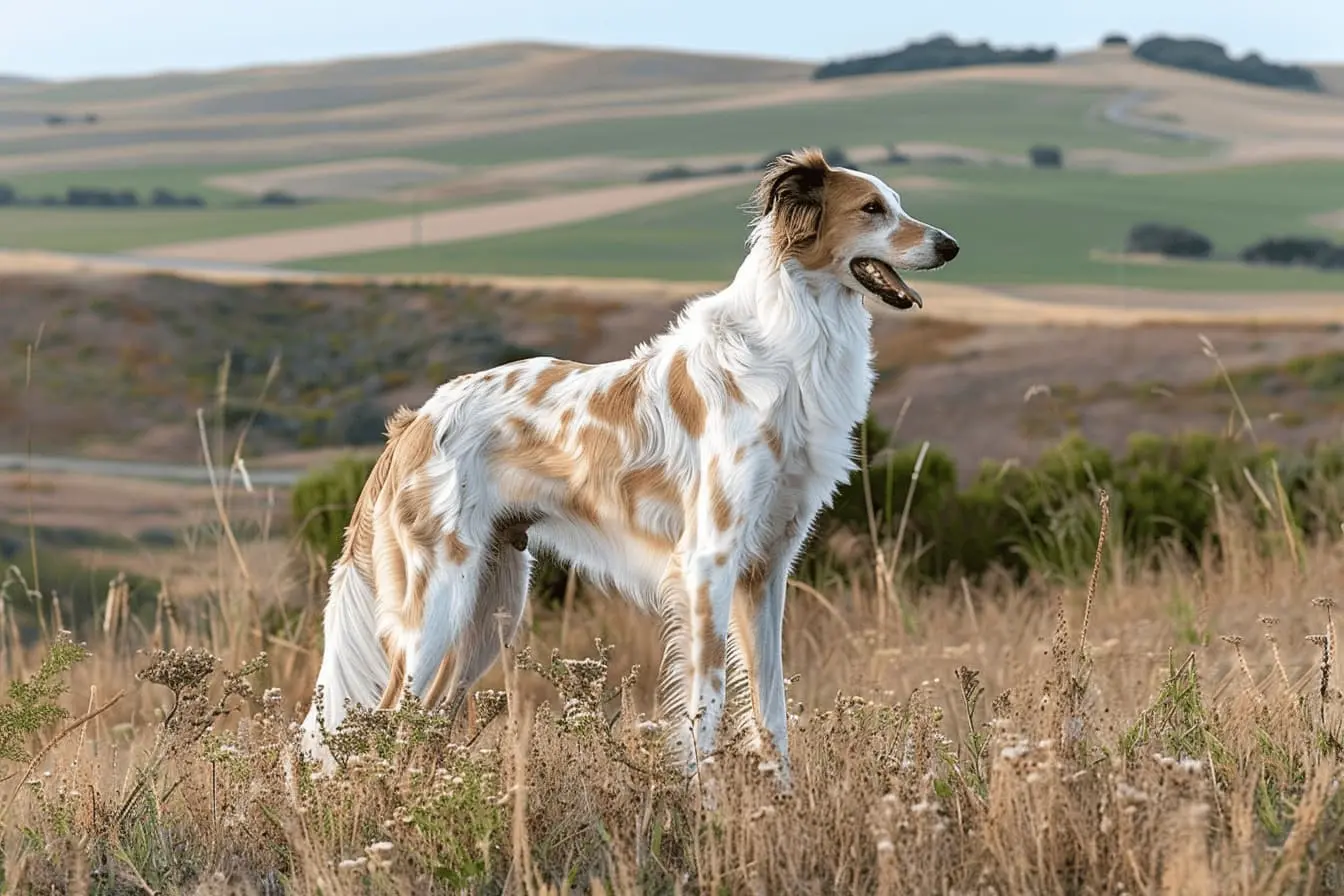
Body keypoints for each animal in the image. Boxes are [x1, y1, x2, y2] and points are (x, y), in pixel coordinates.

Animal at [299, 147, 962, 779]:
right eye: (872, 209)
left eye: (897, 203)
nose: (951, 246)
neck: (790, 346)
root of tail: (415, 422)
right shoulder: (707, 564)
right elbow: (705, 712)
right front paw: (705, 806)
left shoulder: (766, 571)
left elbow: (770, 715)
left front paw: (781, 801)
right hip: (436, 606)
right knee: (382, 725)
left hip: (487, 613)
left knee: (422, 731)